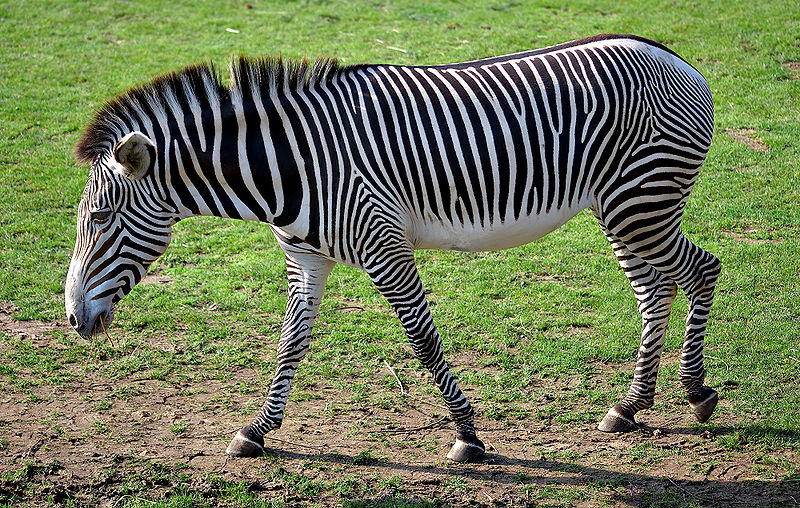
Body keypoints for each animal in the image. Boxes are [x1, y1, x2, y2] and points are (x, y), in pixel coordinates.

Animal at [65, 34, 720, 463]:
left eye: (98, 217)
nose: (72, 319)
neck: (289, 167)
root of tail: (672, 56)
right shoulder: (305, 256)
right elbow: (290, 343)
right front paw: (257, 431)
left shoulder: (384, 247)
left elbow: (424, 342)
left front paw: (467, 435)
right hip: (621, 208)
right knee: (656, 290)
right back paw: (630, 407)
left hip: (642, 201)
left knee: (702, 269)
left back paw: (697, 392)